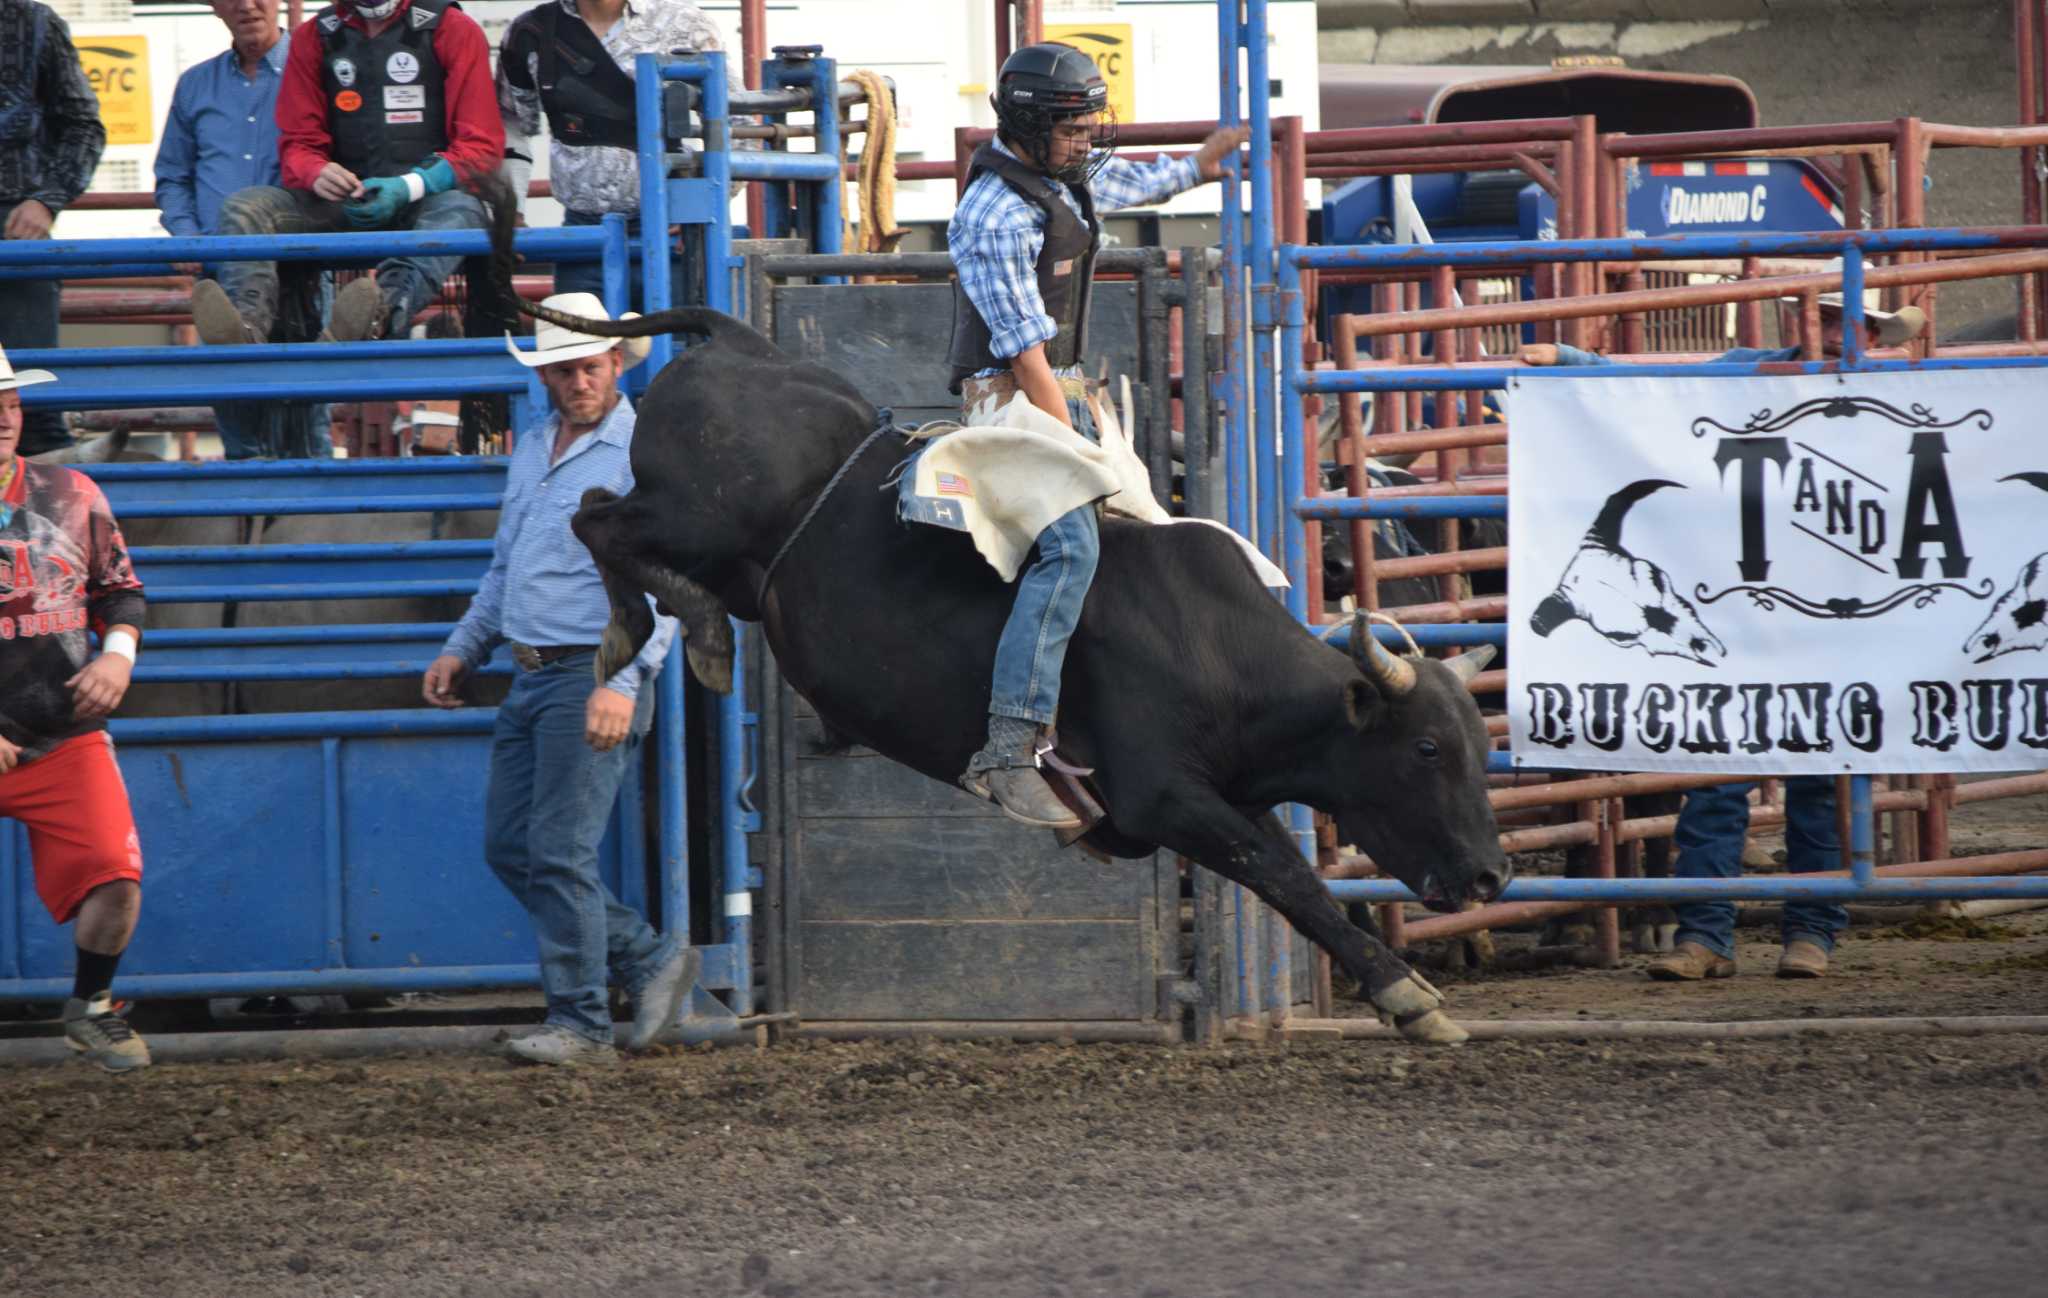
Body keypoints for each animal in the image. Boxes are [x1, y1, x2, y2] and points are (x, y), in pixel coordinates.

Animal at [505, 288, 1515, 1035]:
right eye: (1427, 750)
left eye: (1479, 747)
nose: (1491, 880)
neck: (1213, 644)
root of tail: (737, 344)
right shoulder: (1164, 796)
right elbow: (1287, 875)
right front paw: (1406, 993)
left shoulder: (1219, 793)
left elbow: (1282, 867)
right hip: (691, 515)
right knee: (595, 520)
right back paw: (680, 634)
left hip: (721, 549)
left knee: (601, 517)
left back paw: (691, 627)